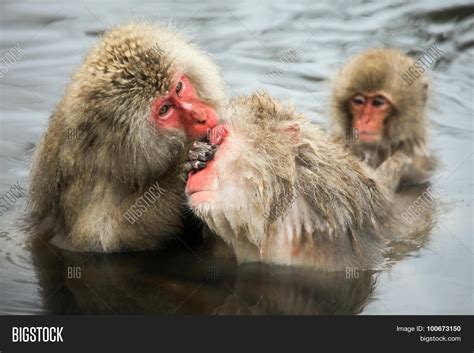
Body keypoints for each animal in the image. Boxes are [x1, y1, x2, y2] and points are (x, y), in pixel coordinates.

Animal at [28, 22, 228, 252]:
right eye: (164, 110)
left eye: (178, 87)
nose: (202, 117)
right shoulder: (89, 183)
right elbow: (100, 237)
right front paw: (183, 168)